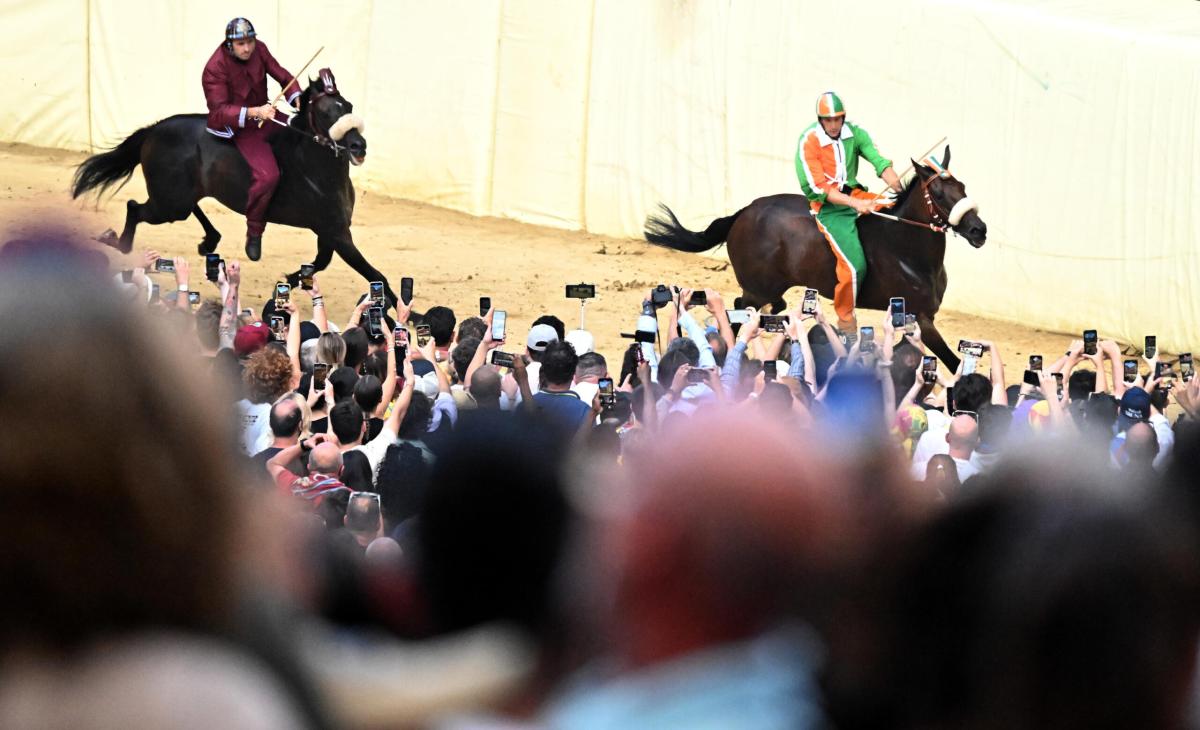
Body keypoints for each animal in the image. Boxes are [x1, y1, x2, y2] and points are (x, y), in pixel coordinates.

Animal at [69, 69, 398, 303]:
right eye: (326, 112)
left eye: (348, 106)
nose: (358, 145)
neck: (314, 167)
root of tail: (153, 130)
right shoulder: (337, 232)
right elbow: (376, 275)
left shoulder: (331, 232)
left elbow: (320, 262)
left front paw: (287, 281)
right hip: (168, 203)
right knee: (135, 208)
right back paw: (119, 242)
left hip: (179, 197)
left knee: (183, 208)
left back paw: (208, 240)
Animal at [648, 145, 984, 369]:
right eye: (938, 193)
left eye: (962, 186)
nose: (978, 229)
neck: (906, 249)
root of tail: (744, 212)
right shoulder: (921, 316)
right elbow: (953, 362)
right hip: (757, 287)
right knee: (739, 310)